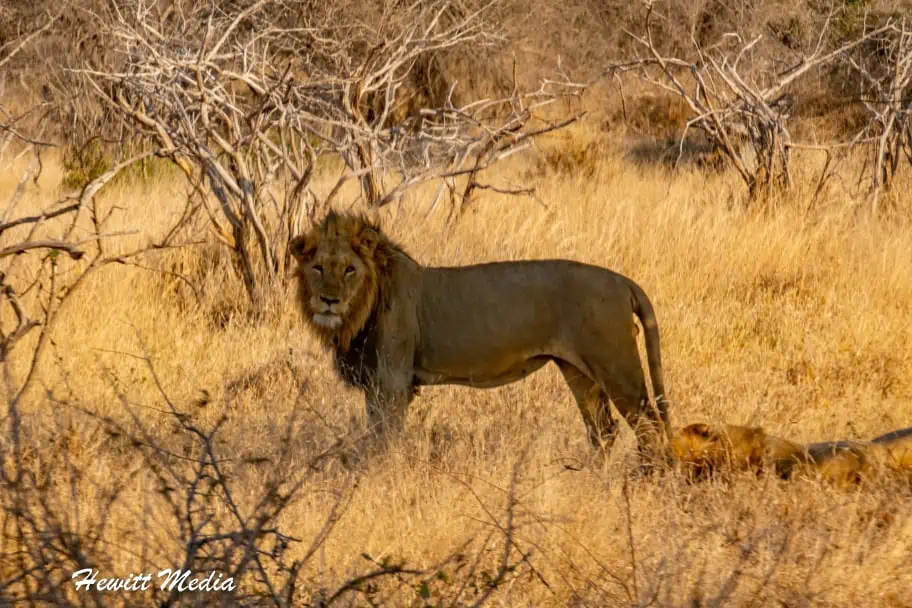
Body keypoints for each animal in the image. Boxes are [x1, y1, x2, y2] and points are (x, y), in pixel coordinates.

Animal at [289, 210, 671, 459]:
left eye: (349, 270)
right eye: (318, 268)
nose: (329, 301)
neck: (357, 314)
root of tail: (622, 281)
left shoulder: (392, 381)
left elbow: (385, 440)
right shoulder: (374, 382)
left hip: (616, 367)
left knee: (649, 428)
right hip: (578, 371)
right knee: (603, 431)